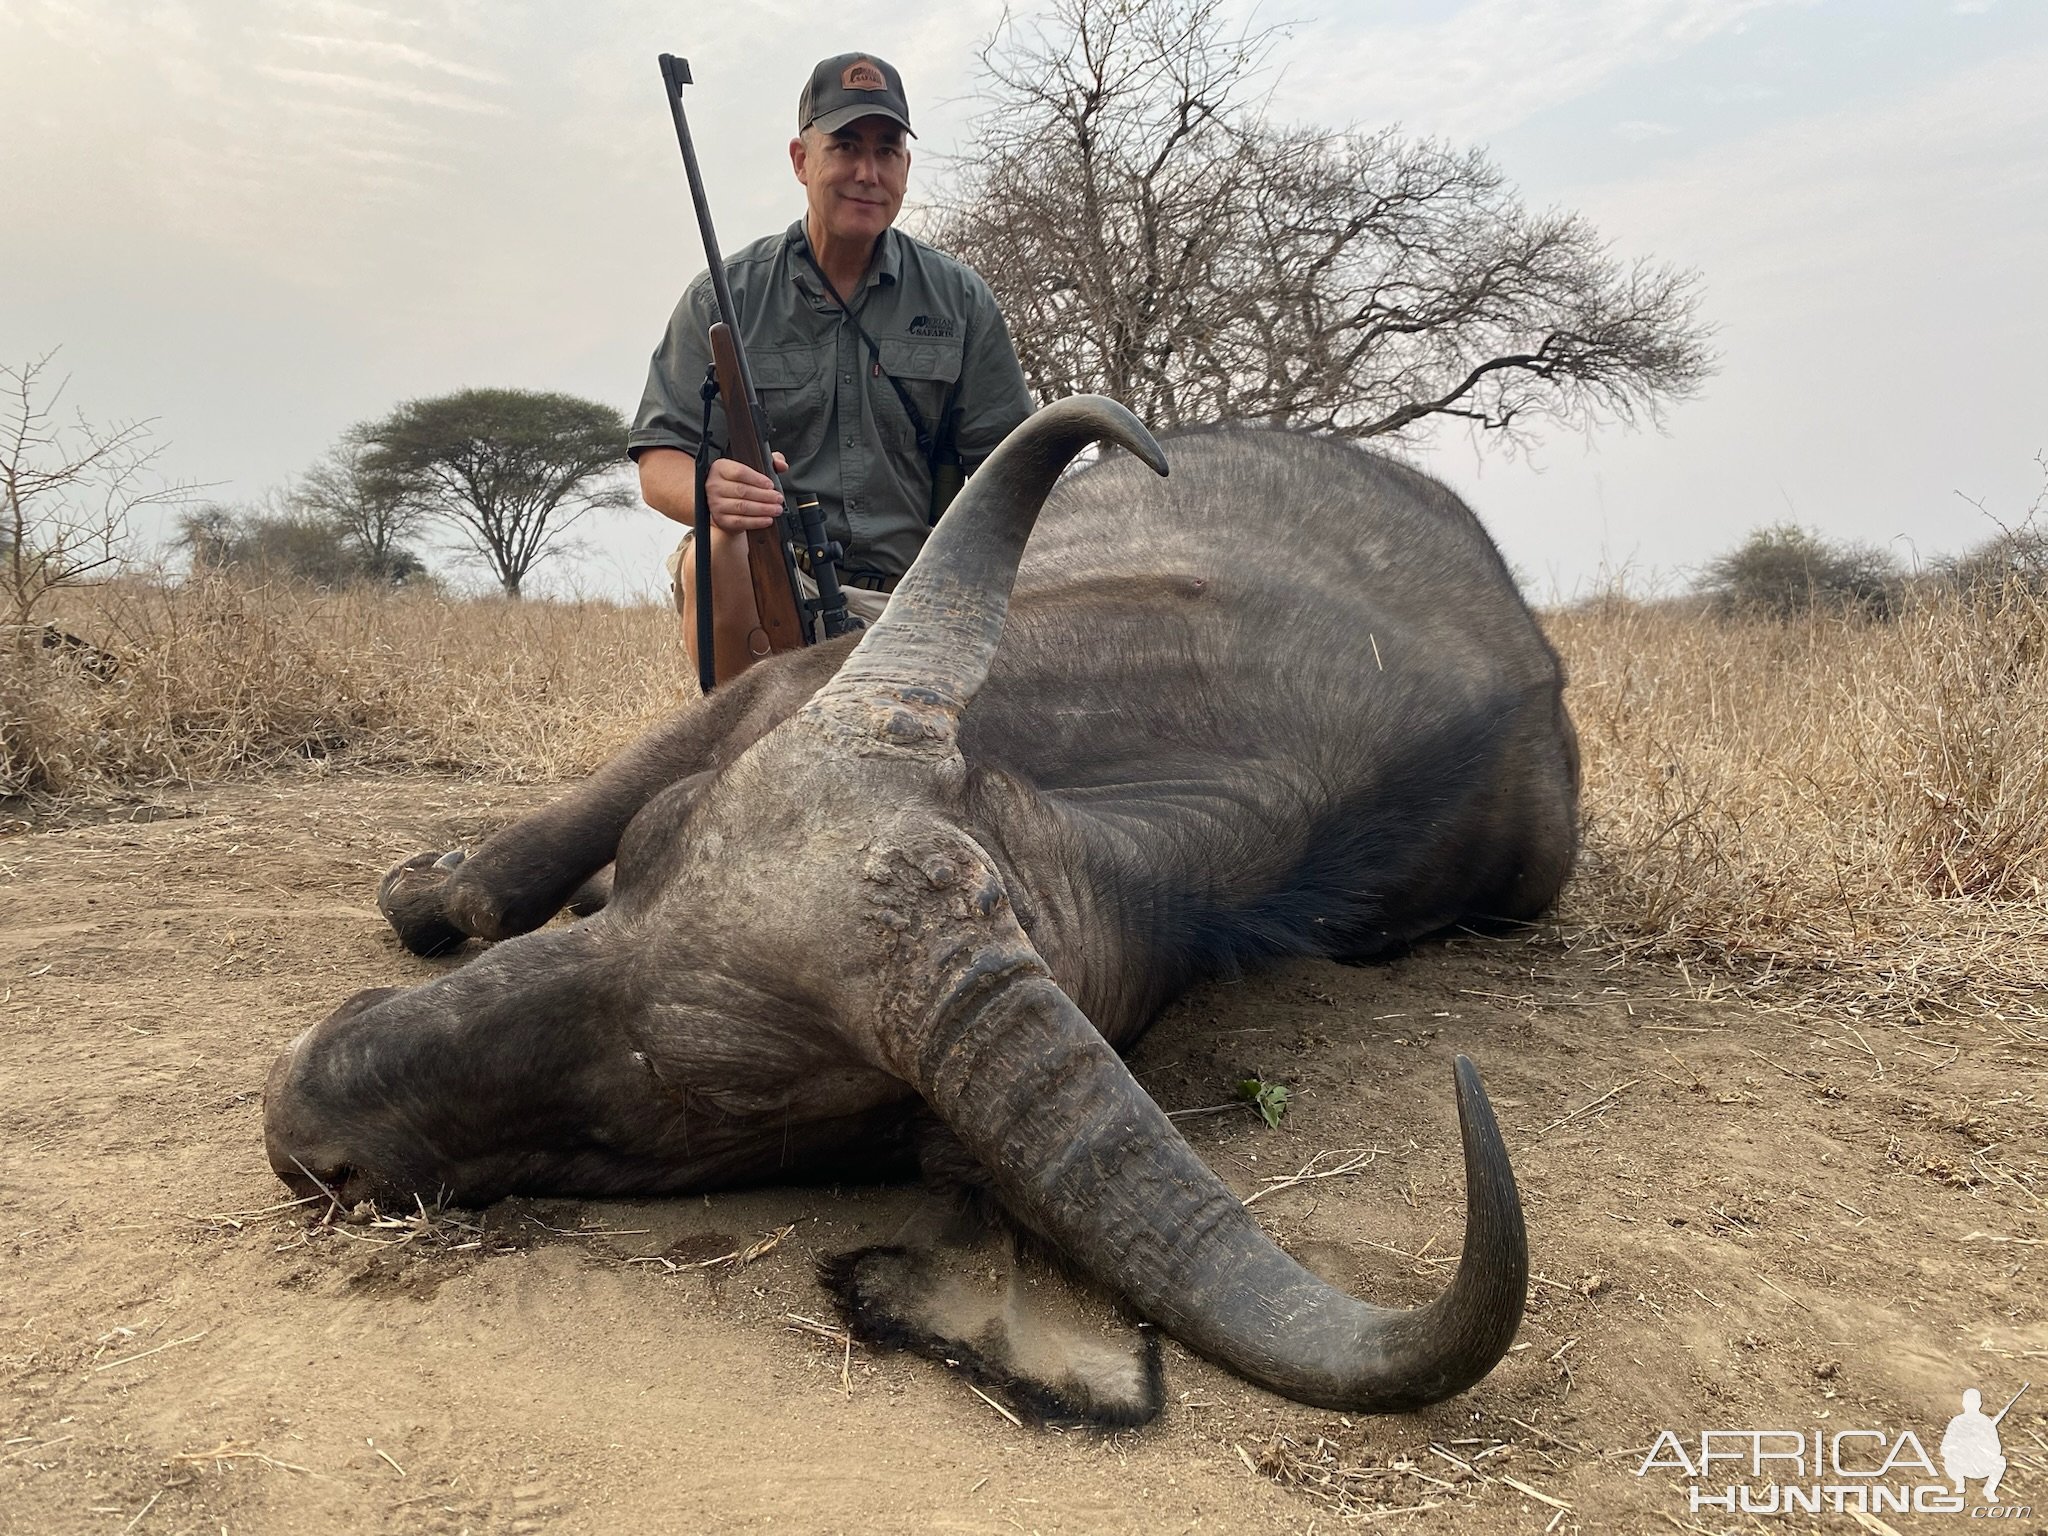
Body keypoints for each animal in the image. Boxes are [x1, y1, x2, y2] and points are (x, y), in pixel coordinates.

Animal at [264, 399, 1572, 1433]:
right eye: (653, 850)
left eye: (705, 1089)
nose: (299, 1108)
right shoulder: (765, 692)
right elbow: (491, 880)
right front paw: (433, 883)